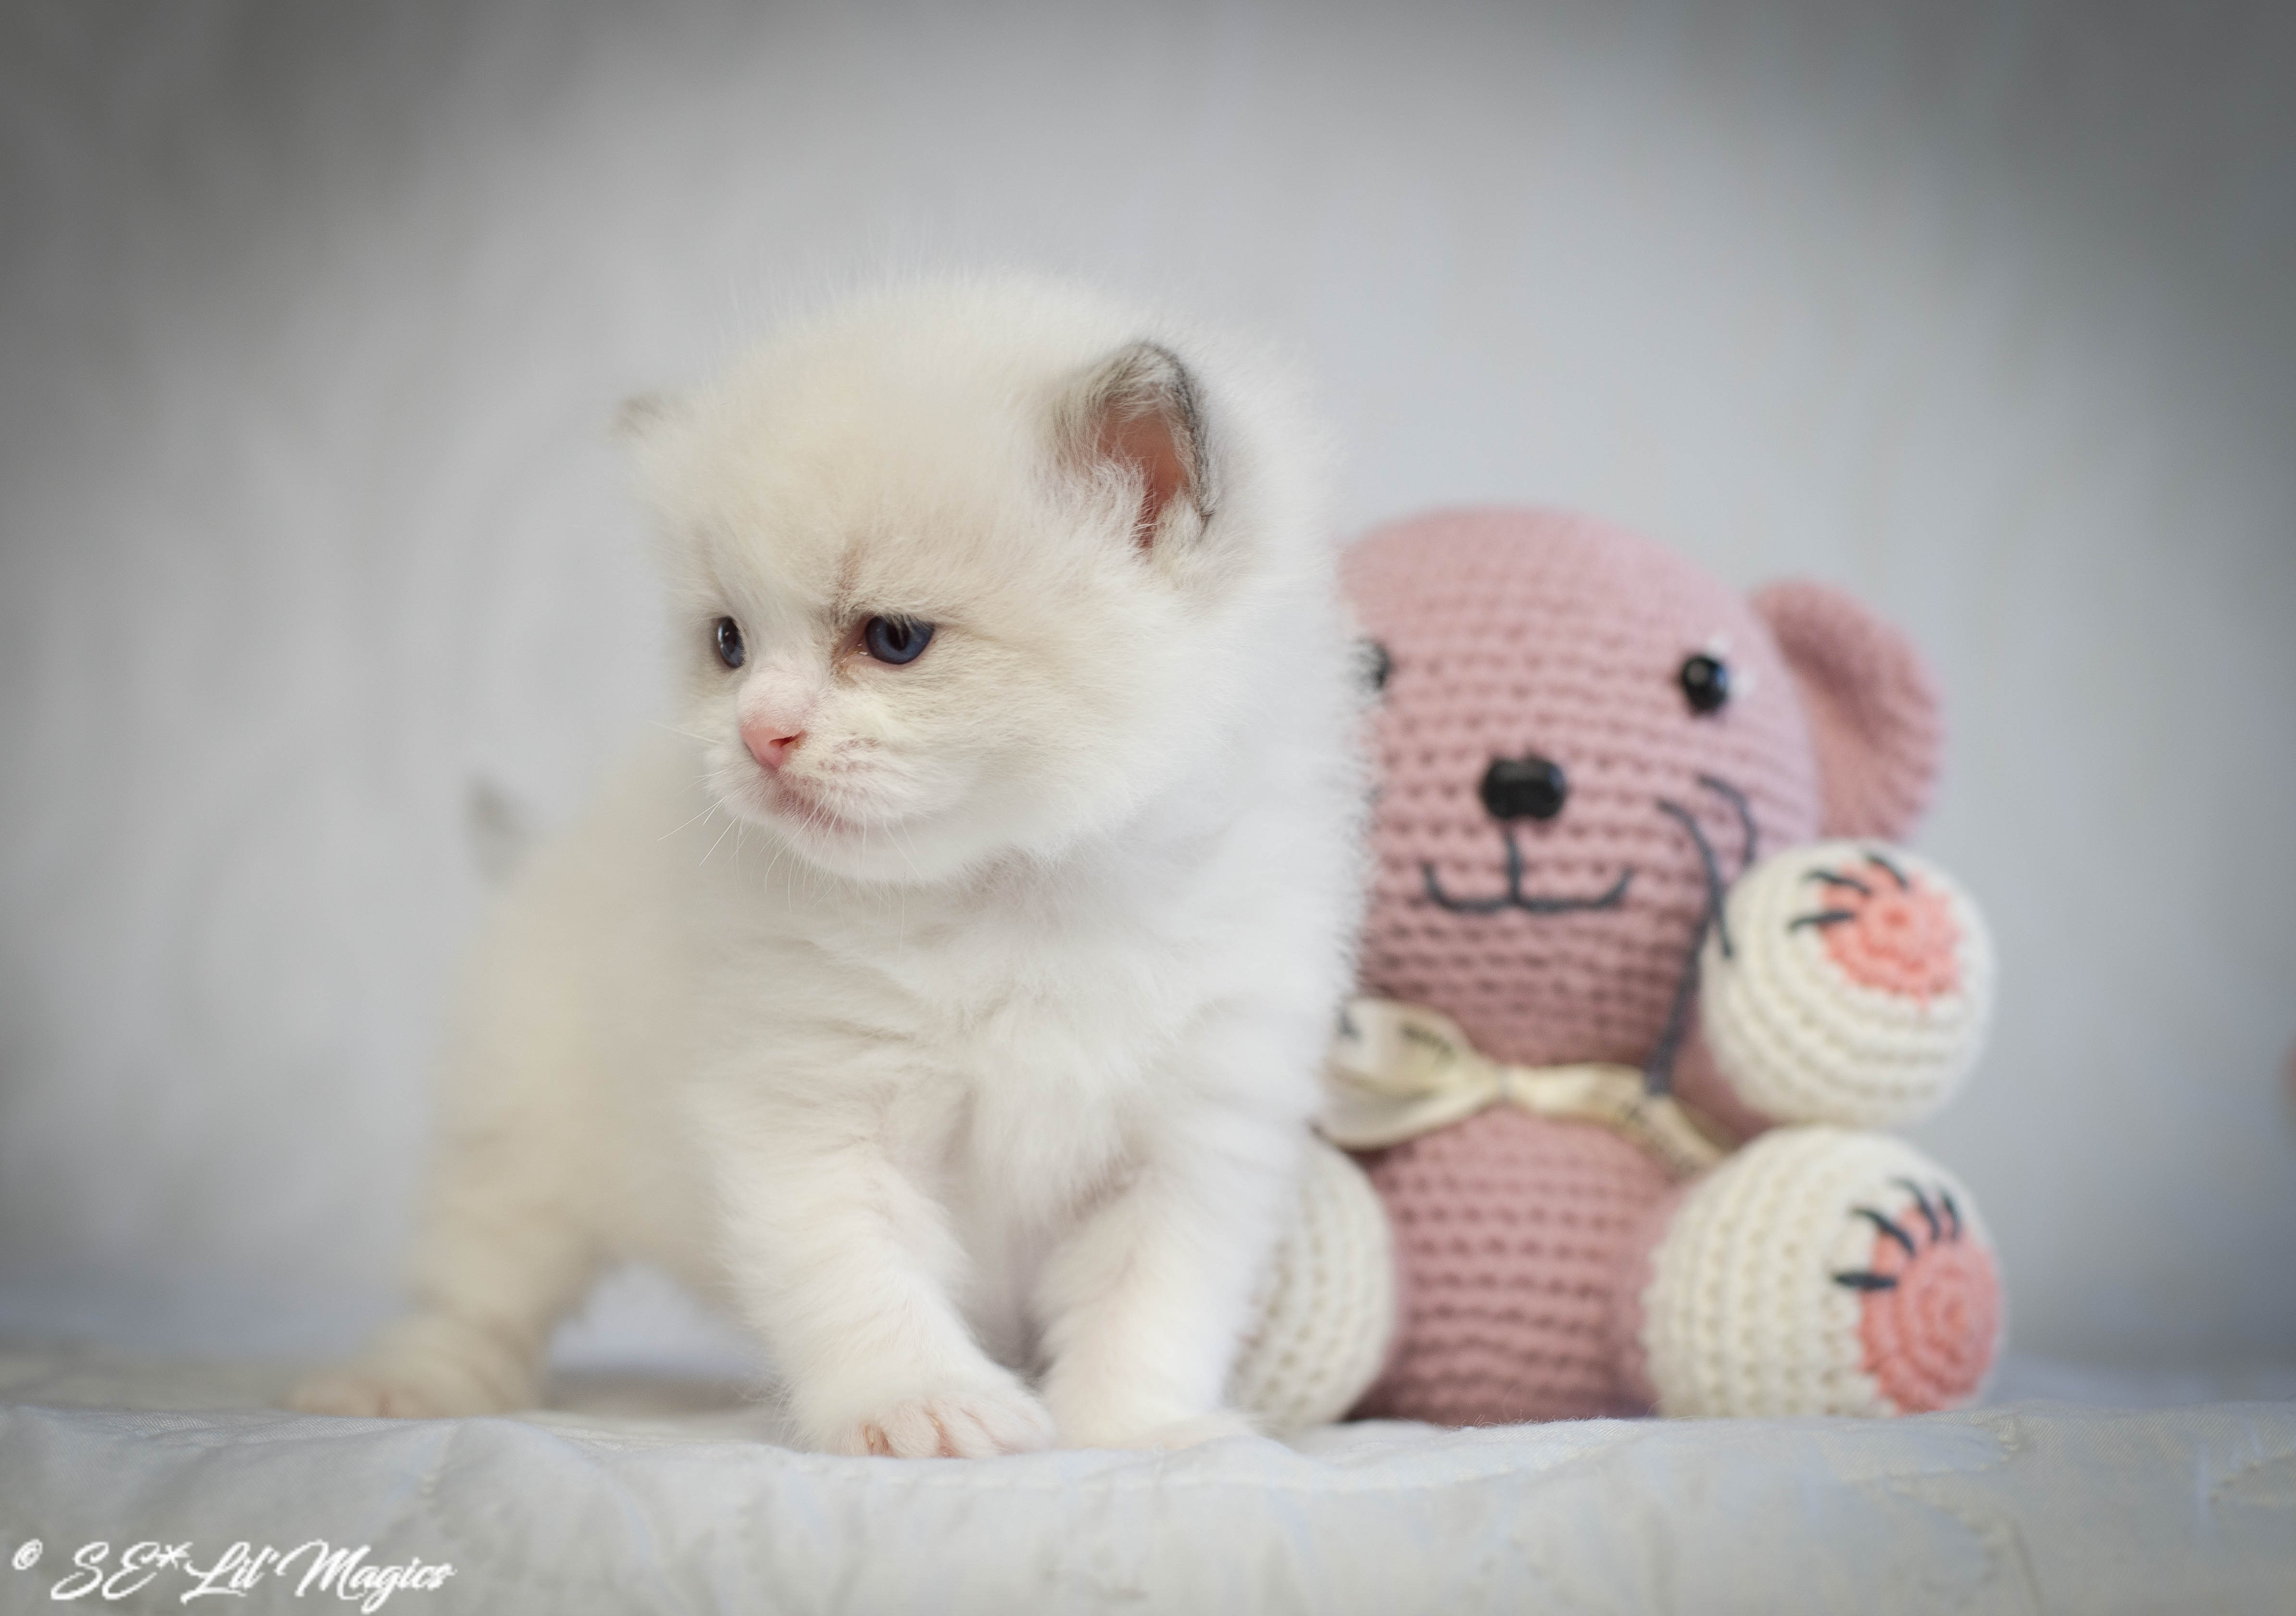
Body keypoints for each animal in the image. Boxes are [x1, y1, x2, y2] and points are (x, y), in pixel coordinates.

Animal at [288, 276, 1369, 1456]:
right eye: (728, 643)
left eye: (892, 639)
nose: (758, 737)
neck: (1015, 896)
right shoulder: (814, 1111)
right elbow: (862, 1278)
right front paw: (921, 1406)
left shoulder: (1193, 1142)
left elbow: (1152, 1304)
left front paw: (1138, 1430)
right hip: (519, 1138)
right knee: (477, 1289)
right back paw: (411, 1384)